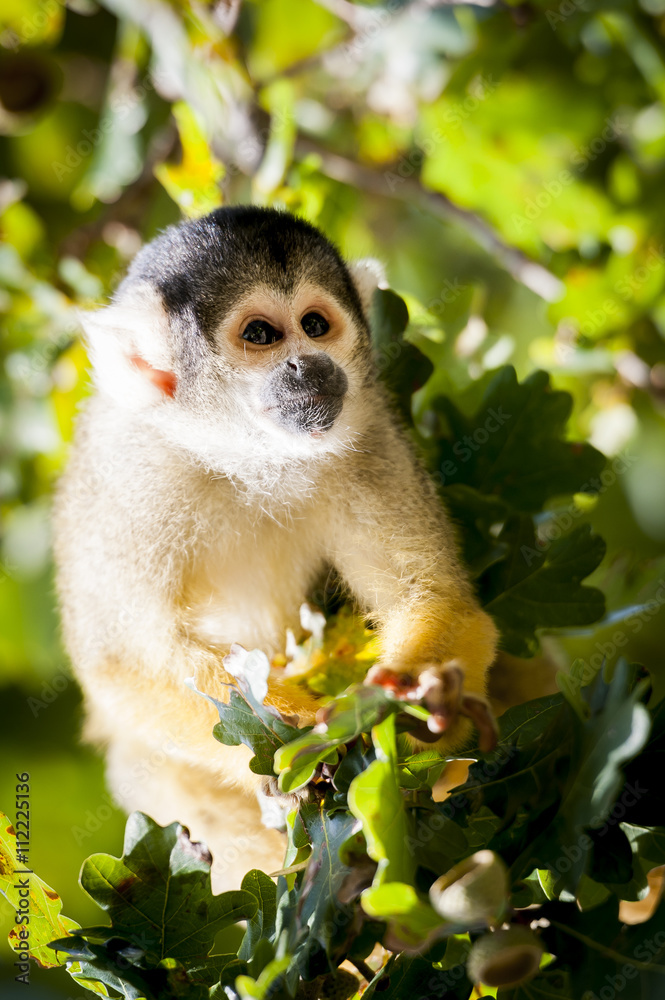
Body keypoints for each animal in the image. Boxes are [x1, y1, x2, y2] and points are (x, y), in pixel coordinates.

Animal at [53, 206, 498, 891]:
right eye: (261, 334)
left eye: (315, 326)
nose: (310, 367)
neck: (244, 457)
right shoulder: (127, 480)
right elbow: (119, 665)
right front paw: (292, 738)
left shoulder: (368, 438)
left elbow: (437, 598)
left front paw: (422, 697)